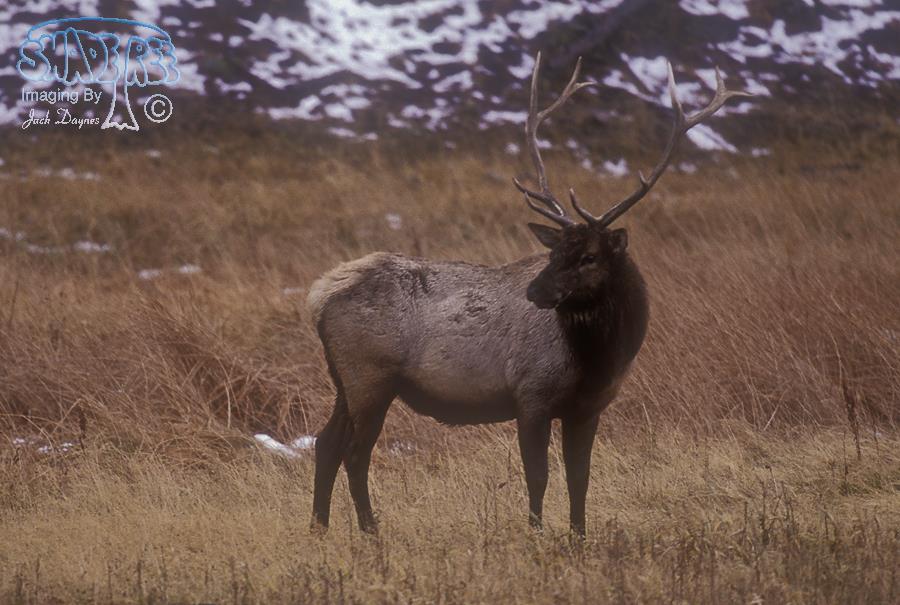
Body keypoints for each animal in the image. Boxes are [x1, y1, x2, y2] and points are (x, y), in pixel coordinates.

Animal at [307, 53, 749, 536]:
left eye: (589, 256)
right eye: (554, 251)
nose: (534, 289)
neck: (598, 359)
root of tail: (318, 295)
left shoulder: (588, 408)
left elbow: (580, 478)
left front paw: (579, 537)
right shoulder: (531, 395)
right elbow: (538, 475)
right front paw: (537, 535)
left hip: (344, 381)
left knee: (325, 443)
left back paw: (319, 529)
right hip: (371, 376)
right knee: (354, 454)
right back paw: (371, 533)